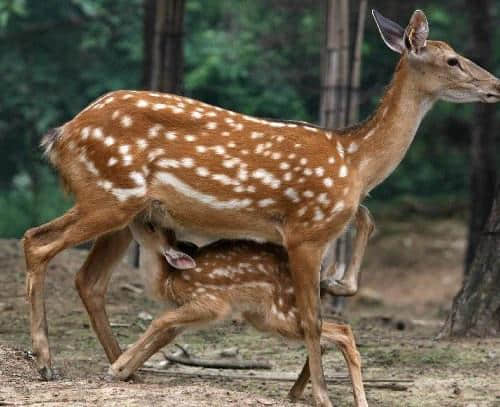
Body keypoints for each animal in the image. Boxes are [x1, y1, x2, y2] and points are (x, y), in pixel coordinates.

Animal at [108, 222, 368, 406]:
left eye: (151, 227)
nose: (138, 218)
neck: (168, 280)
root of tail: (320, 282)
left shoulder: (210, 302)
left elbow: (158, 321)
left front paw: (116, 365)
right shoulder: (184, 315)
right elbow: (160, 338)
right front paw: (124, 372)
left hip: (281, 313)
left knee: (342, 331)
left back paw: (359, 401)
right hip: (264, 317)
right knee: (322, 338)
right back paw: (294, 393)